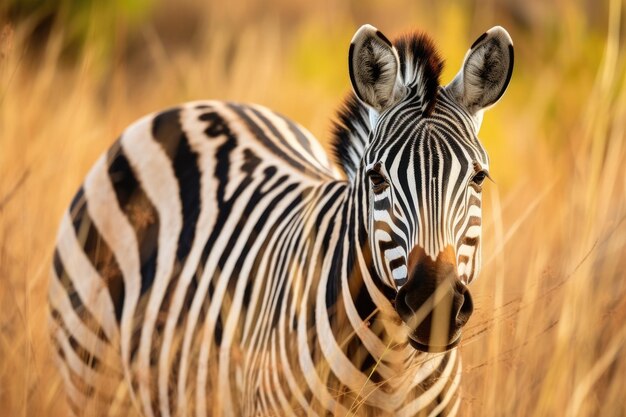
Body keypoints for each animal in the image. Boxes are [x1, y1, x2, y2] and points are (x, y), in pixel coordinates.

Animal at [47, 23, 512, 416]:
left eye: (478, 178)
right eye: (377, 178)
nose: (435, 309)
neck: (394, 366)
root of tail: (192, 107)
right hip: (87, 366)